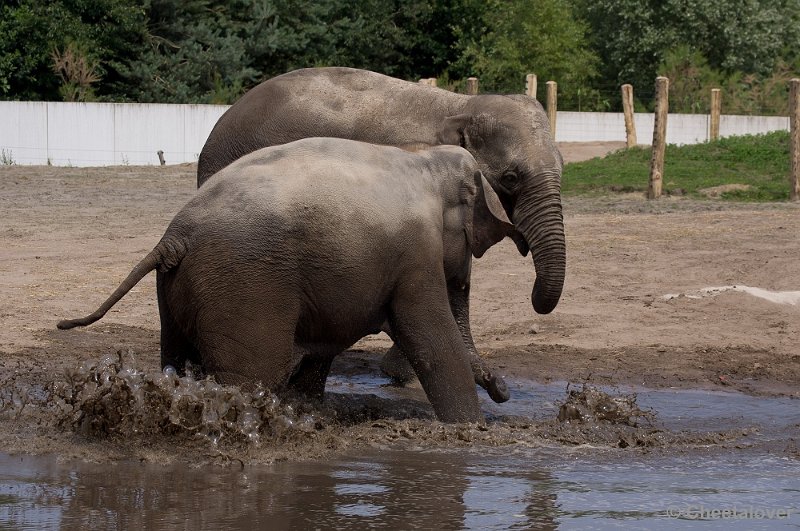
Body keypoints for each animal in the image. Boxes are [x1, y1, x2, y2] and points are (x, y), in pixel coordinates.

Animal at [59, 138, 516, 424]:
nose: (504, 390)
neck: (425, 159)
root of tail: (173, 238)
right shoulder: (414, 256)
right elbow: (433, 340)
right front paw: (470, 431)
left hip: (175, 290)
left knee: (177, 359)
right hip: (242, 286)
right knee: (250, 375)